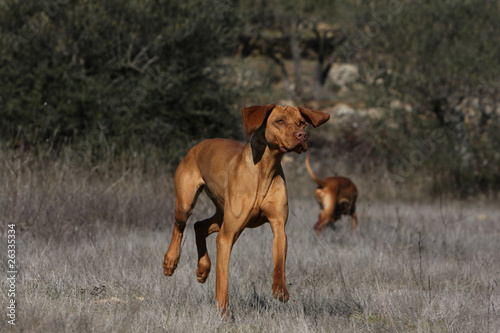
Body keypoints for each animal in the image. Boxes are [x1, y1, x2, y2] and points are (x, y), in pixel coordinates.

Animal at [162, 104, 330, 316]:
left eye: (301, 123)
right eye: (280, 121)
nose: (303, 135)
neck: (264, 169)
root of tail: (198, 145)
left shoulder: (278, 227)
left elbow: (278, 263)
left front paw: (280, 289)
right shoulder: (227, 236)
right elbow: (222, 281)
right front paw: (224, 313)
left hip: (224, 216)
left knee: (199, 226)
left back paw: (203, 268)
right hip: (187, 204)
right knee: (180, 226)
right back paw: (170, 261)